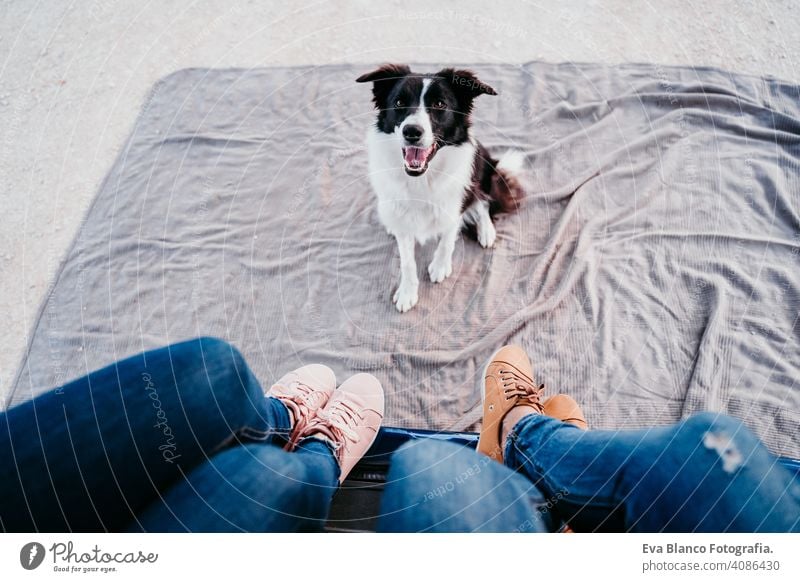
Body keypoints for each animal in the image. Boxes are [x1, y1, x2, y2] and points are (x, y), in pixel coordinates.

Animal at [358, 64, 524, 314]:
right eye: (399, 102)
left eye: (439, 104)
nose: (411, 131)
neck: (421, 179)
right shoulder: (402, 217)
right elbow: (407, 261)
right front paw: (407, 292)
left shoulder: (454, 205)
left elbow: (447, 239)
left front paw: (439, 266)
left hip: (481, 167)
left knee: (482, 201)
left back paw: (486, 230)